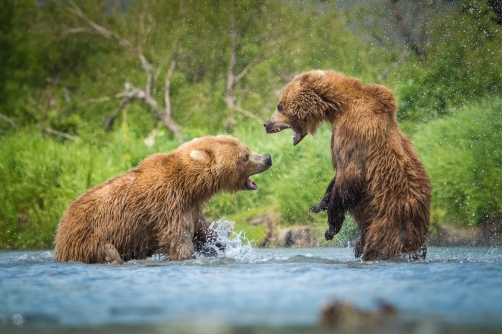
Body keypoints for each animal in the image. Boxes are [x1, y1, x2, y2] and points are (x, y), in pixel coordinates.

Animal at [53, 136, 272, 264]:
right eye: (245, 157)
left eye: (247, 149)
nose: (267, 157)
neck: (189, 185)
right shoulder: (168, 206)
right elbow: (179, 242)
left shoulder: (191, 208)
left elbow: (202, 232)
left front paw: (220, 244)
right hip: (90, 238)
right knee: (108, 253)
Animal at [264, 70, 434, 260]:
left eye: (279, 106)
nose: (266, 124)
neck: (339, 108)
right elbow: (337, 176)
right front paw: (317, 206)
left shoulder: (353, 133)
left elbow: (350, 176)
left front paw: (331, 227)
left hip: (388, 221)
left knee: (379, 246)